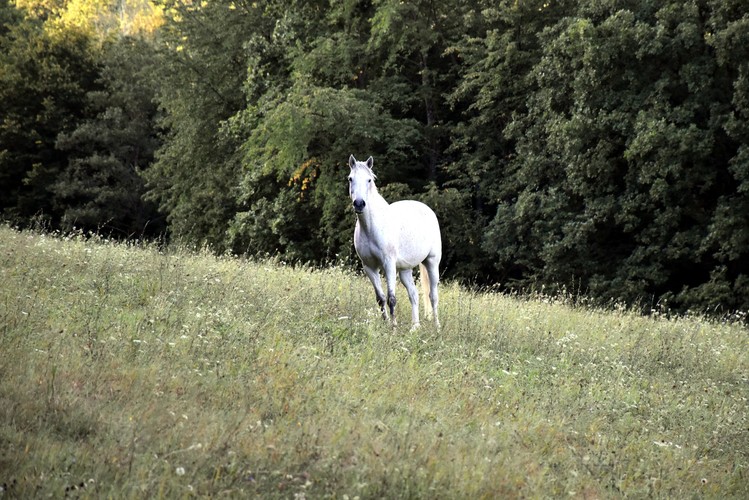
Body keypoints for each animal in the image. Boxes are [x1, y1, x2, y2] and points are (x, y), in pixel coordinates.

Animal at [348, 154, 442, 330]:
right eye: (350, 178)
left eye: (369, 180)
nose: (359, 203)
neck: (372, 227)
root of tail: (428, 209)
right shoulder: (369, 267)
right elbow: (381, 298)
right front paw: (385, 324)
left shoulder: (388, 264)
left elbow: (391, 298)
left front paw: (393, 328)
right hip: (405, 270)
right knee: (414, 294)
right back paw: (415, 328)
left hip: (432, 262)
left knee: (433, 296)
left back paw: (437, 327)